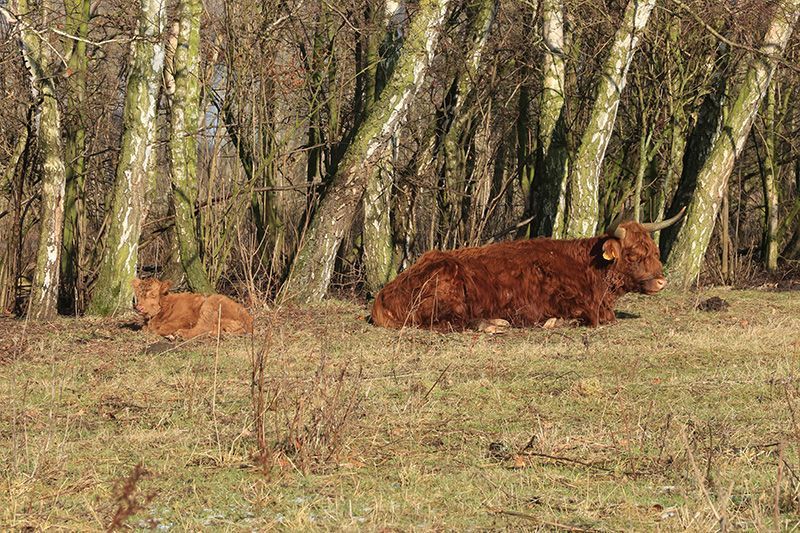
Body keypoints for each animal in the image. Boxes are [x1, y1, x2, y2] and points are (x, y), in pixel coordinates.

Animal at [372, 210, 684, 330]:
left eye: (654, 251)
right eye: (632, 255)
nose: (661, 282)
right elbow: (597, 319)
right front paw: (556, 322)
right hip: (448, 292)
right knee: (446, 323)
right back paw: (492, 324)